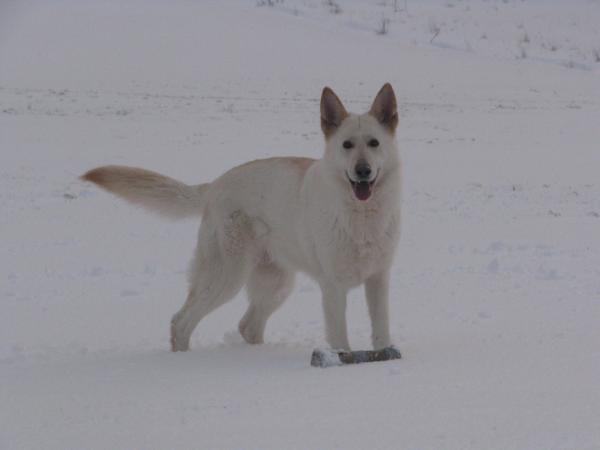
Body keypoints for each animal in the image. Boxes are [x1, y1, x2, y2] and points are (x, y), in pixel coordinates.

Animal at [82, 83, 400, 352]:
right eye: (347, 145)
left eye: (374, 143)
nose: (362, 171)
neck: (361, 216)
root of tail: (214, 185)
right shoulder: (332, 286)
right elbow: (339, 339)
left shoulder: (379, 280)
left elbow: (381, 329)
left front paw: (383, 355)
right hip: (227, 277)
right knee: (181, 321)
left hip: (277, 283)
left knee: (248, 326)